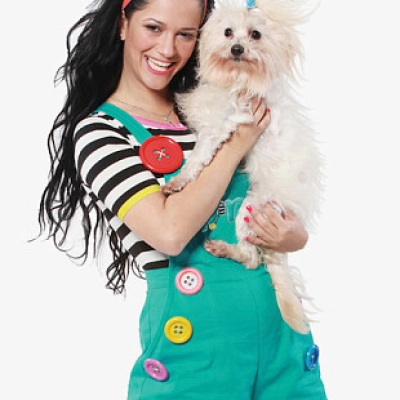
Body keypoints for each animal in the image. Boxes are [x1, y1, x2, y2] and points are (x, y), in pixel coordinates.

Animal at [162, 0, 323, 334]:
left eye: (256, 34)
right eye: (227, 32)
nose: (237, 48)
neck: (237, 78)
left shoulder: (218, 127)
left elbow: (196, 160)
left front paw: (177, 182)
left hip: (252, 209)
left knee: (251, 258)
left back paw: (224, 249)